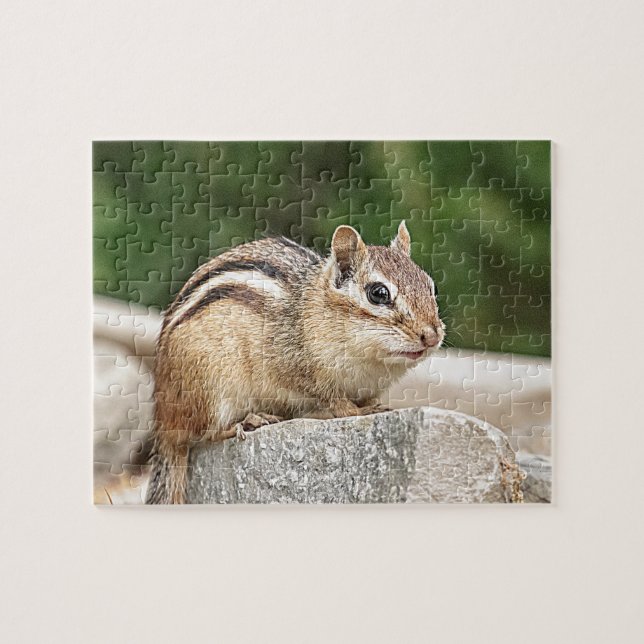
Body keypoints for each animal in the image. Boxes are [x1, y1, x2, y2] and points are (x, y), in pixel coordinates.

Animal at [145, 221, 445, 504]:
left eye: (431, 287)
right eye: (379, 293)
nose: (431, 336)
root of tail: (163, 421)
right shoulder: (297, 369)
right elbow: (335, 402)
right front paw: (358, 411)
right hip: (211, 388)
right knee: (205, 434)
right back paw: (247, 421)